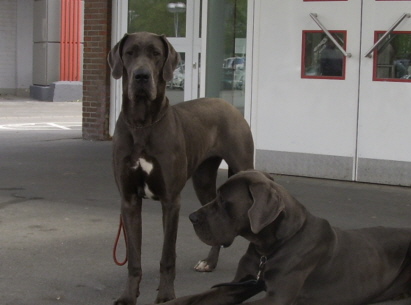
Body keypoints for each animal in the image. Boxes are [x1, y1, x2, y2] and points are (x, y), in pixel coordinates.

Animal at [106, 31, 254, 304]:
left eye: (155, 53)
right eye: (129, 53)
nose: (141, 76)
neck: (143, 124)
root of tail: (229, 105)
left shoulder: (170, 200)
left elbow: (167, 255)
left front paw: (166, 295)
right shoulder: (129, 200)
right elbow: (134, 258)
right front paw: (129, 296)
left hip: (242, 166)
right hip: (203, 179)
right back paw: (209, 262)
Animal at [154, 170, 411, 302]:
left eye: (224, 201)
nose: (192, 217)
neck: (268, 248)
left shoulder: (278, 297)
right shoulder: (239, 285)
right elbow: (193, 298)